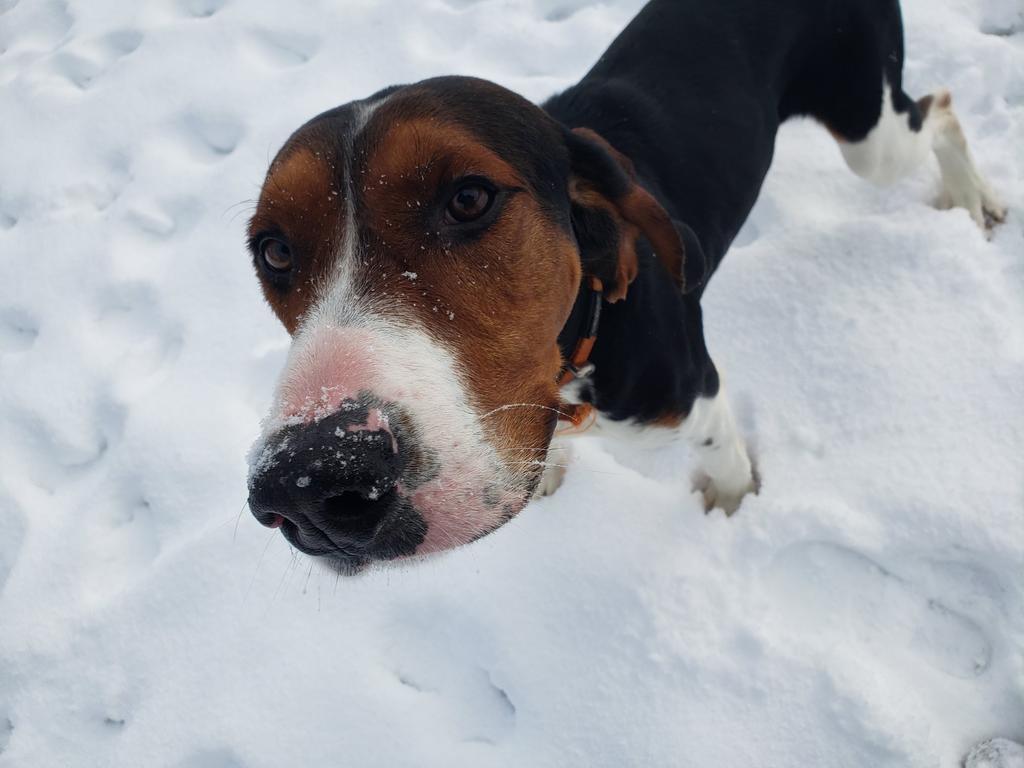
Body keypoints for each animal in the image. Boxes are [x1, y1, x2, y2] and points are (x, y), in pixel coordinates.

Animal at [245, 0, 1007, 573]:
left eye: (469, 198)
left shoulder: (694, 394)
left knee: (940, 108)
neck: (579, 353)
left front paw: (730, 508)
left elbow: (726, 463)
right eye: (273, 251)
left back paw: (973, 202)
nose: (307, 486)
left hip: (869, 129)